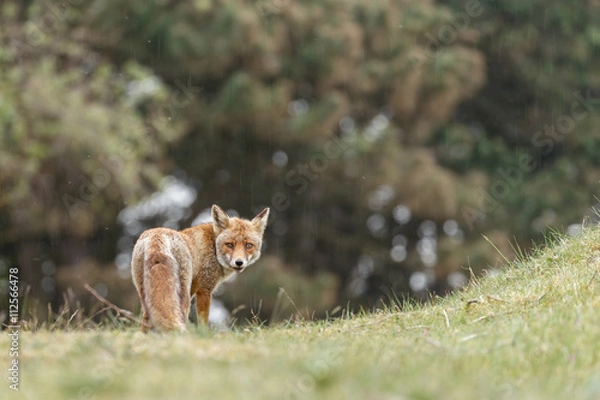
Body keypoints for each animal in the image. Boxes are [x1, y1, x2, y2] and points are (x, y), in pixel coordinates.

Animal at [134, 203, 272, 332]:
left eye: (248, 245)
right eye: (229, 245)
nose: (239, 262)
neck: (213, 246)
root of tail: (156, 237)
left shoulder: (194, 290)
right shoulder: (205, 289)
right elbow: (203, 322)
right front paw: (204, 334)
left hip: (146, 293)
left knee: (147, 318)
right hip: (182, 295)